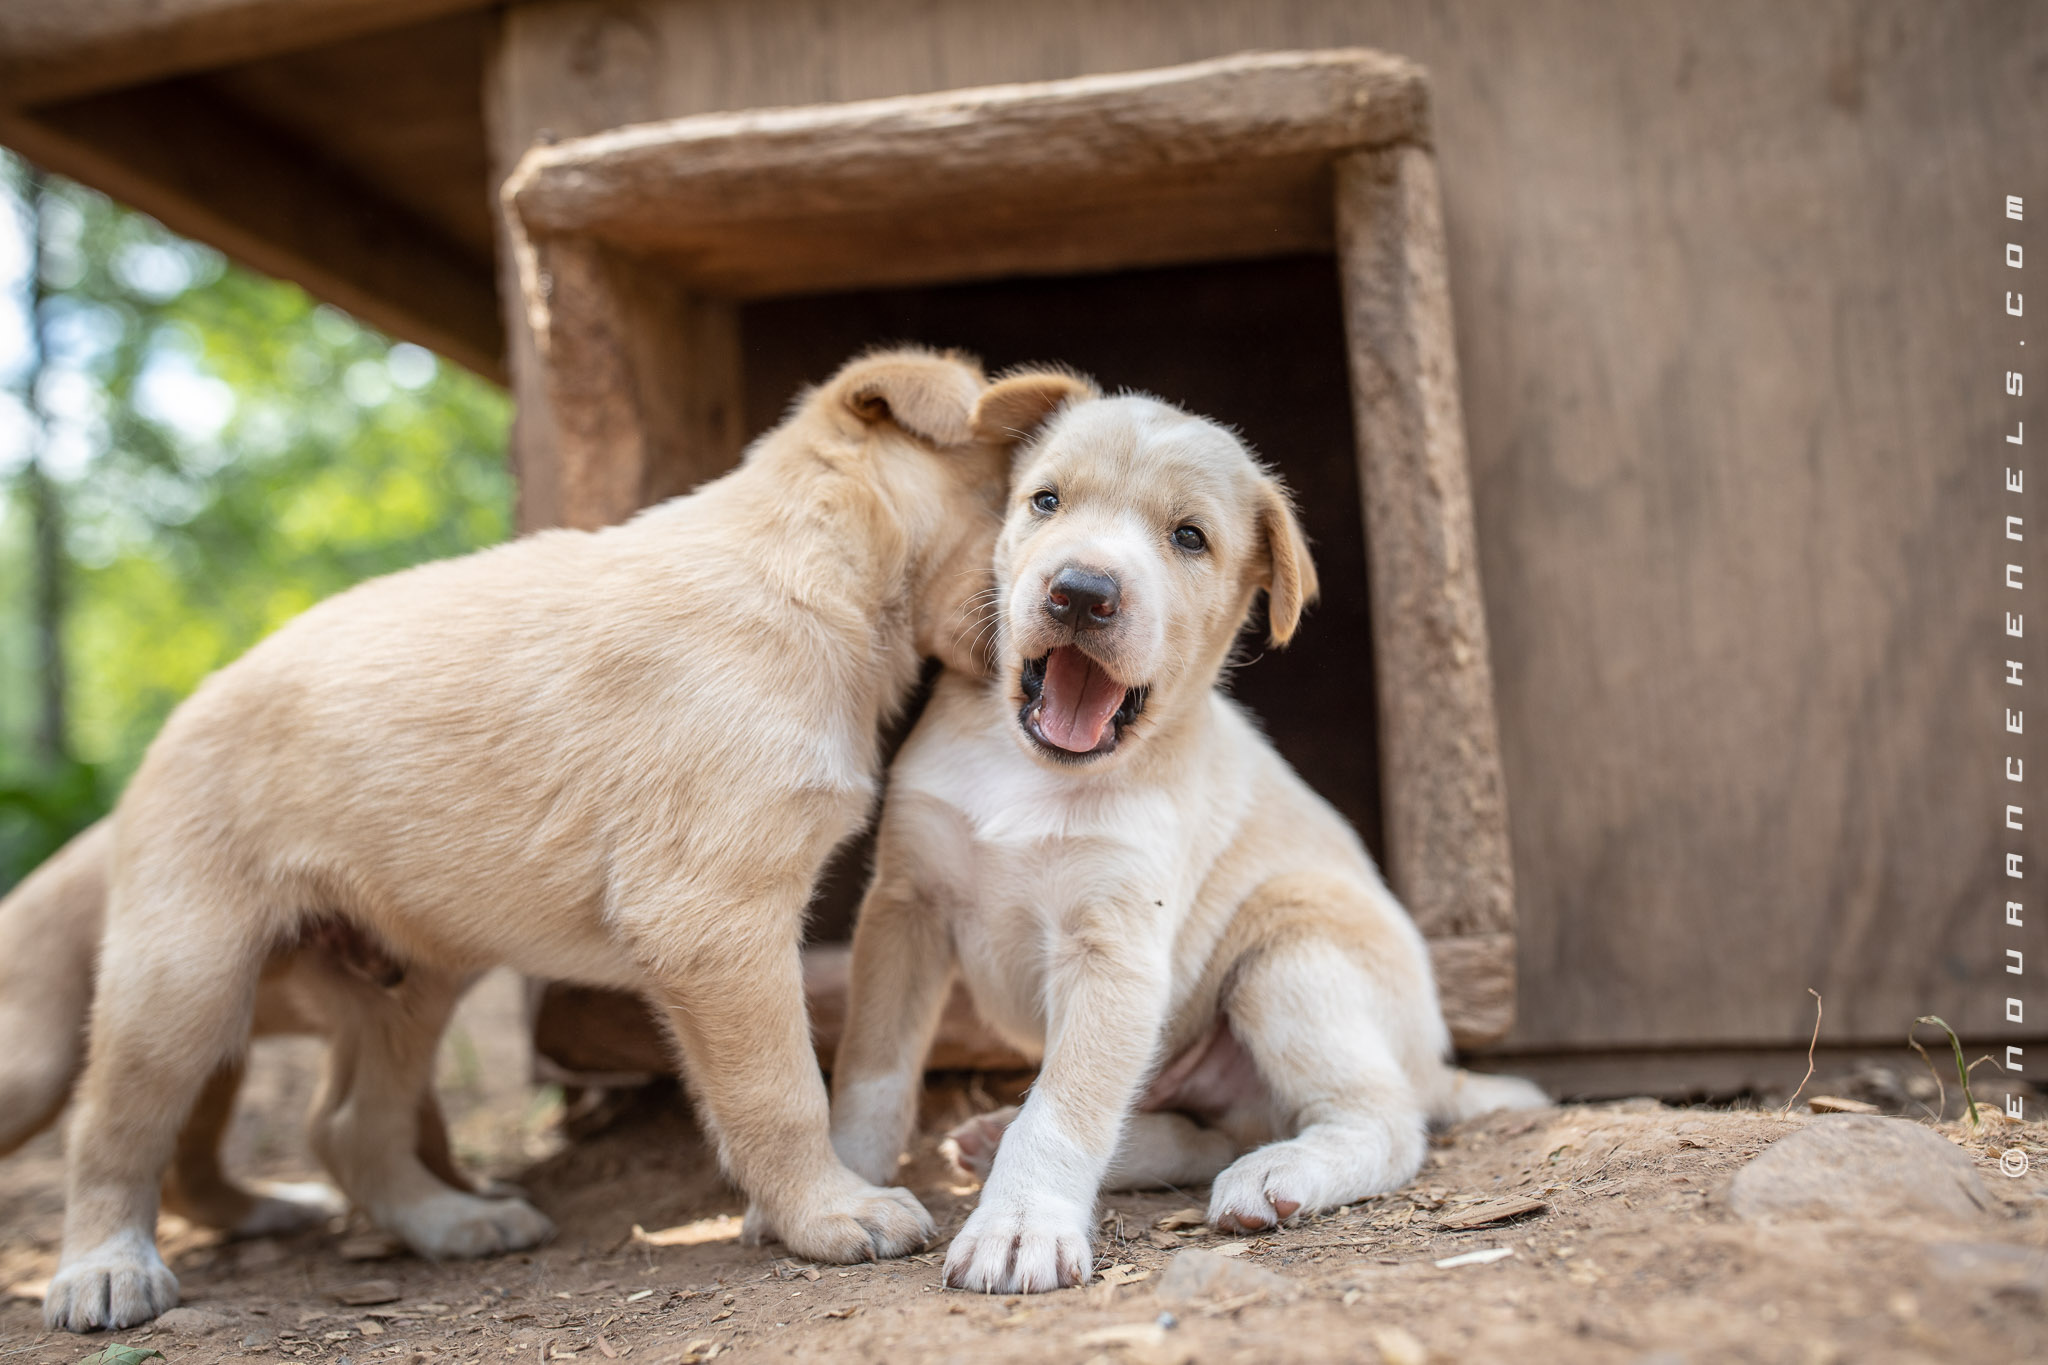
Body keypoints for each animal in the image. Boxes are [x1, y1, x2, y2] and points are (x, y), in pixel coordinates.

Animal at [39, 348, 1088, 1331]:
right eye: (1034, 500)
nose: (1087, 596)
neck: (816, 567)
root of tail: (175, 718)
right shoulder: (715, 921)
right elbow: (783, 1089)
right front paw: (831, 1213)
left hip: (412, 982)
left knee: (349, 1126)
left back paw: (454, 1222)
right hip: (185, 977)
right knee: (111, 1126)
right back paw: (103, 1268)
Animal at [828, 387, 1548, 1294]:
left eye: (1190, 537)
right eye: (1046, 500)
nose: (1082, 591)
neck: (1031, 771)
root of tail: (1437, 1063)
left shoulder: (1116, 950)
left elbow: (1064, 1107)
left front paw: (1021, 1225)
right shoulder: (904, 909)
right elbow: (872, 1070)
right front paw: (844, 1185)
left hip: (1290, 954)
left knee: (1383, 1121)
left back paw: (1279, 1173)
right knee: (1210, 1131)